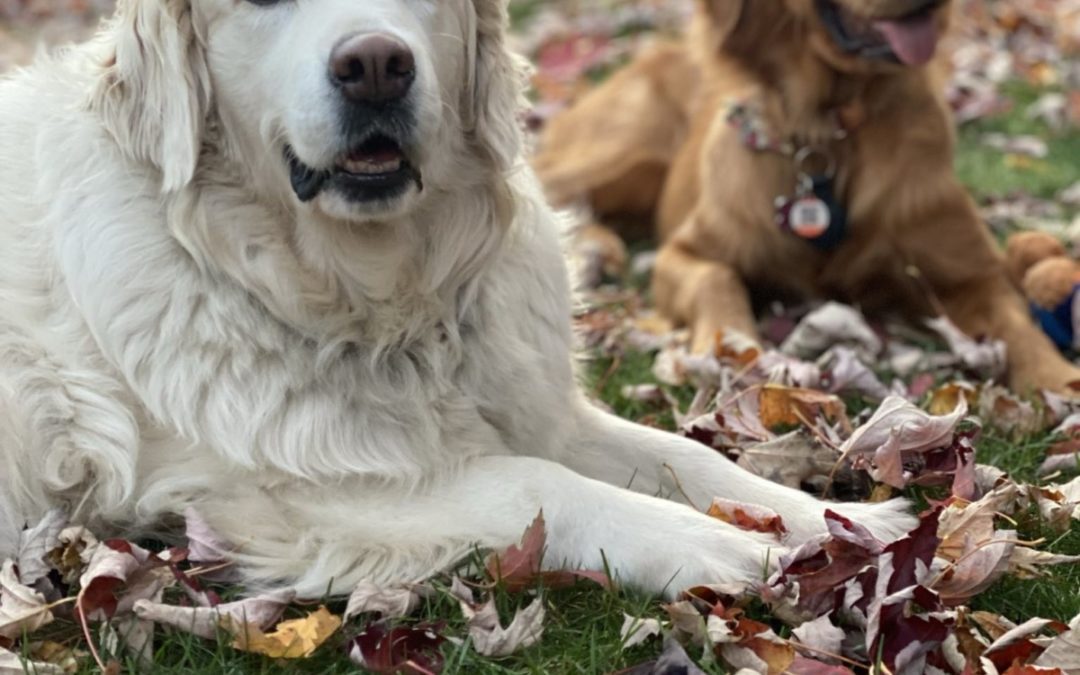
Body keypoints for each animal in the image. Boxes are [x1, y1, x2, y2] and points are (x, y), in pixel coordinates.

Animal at [0, 0, 915, 596]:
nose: (375, 66)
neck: (378, 295)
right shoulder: (288, 488)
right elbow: (537, 482)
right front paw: (722, 547)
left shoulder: (540, 406)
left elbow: (687, 456)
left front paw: (839, 520)